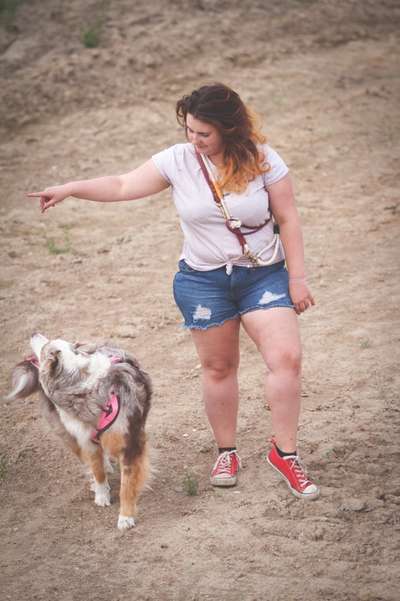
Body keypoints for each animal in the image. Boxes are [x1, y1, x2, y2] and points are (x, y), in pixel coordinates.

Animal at [7, 332, 152, 528]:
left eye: (45, 347)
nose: (34, 333)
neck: (86, 391)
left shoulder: (131, 441)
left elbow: (127, 485)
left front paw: (125, 517)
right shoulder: (85, 439)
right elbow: (97, 470)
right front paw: (101, 494)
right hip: (65, 432)